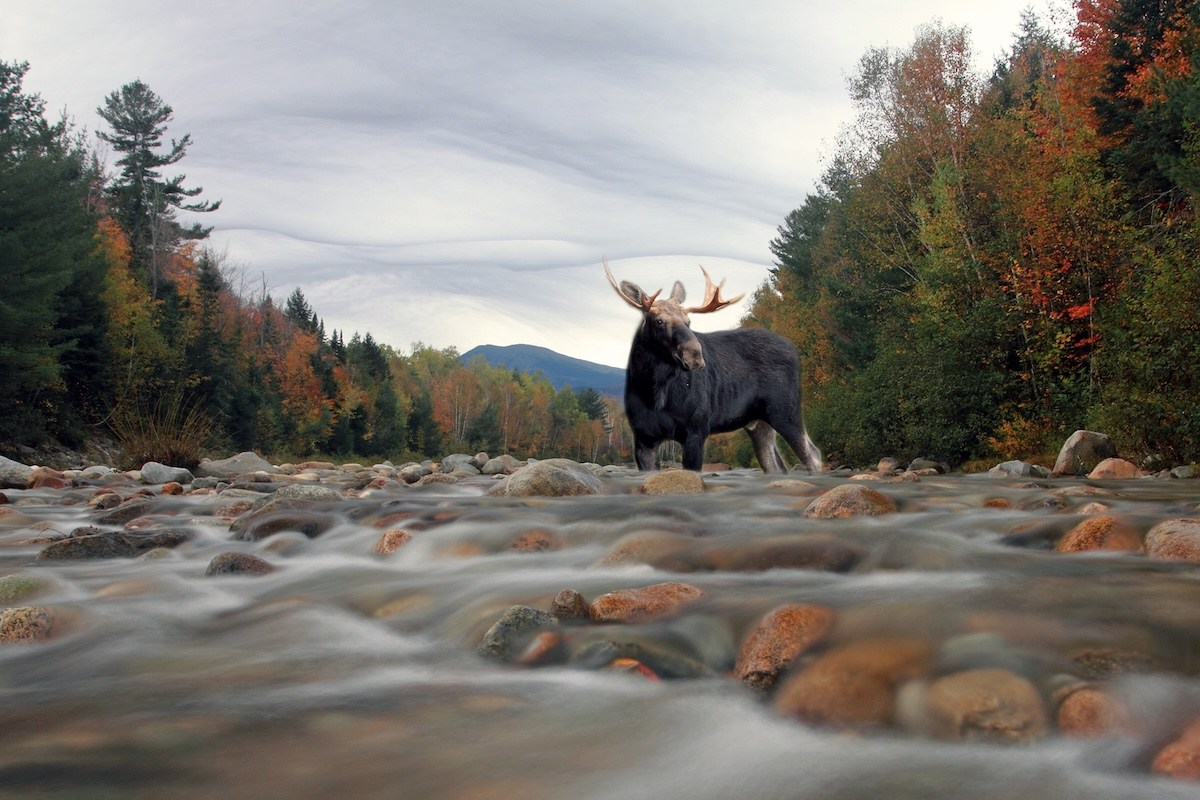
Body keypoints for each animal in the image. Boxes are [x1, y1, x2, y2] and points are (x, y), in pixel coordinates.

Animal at [605, 262, 824, 474]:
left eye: (688, 321)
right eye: (659, 321)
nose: (695, 355)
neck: (653, 390)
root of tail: (794, 349)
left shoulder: (696, 430)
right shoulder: (644, 438)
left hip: (786, 411)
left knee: (813, 455)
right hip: (758, 424)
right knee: (776, 466)